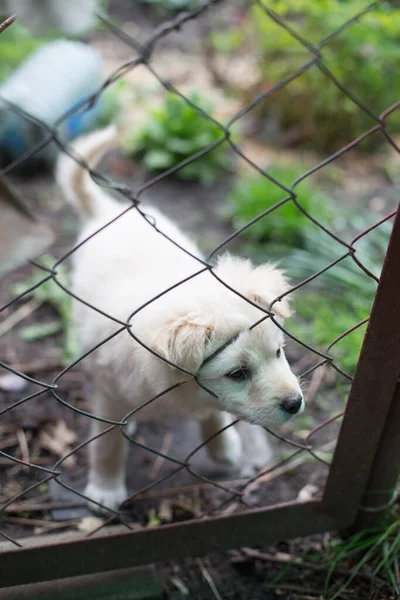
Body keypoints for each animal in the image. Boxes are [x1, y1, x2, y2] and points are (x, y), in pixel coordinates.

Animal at [56, 127, 304, 510]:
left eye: (278, 353)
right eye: (237, 374)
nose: (295, 403)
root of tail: (109, 211)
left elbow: (214, 412)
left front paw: (222, 446)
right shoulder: (111, 393)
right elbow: (106, 444)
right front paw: (105, 490)